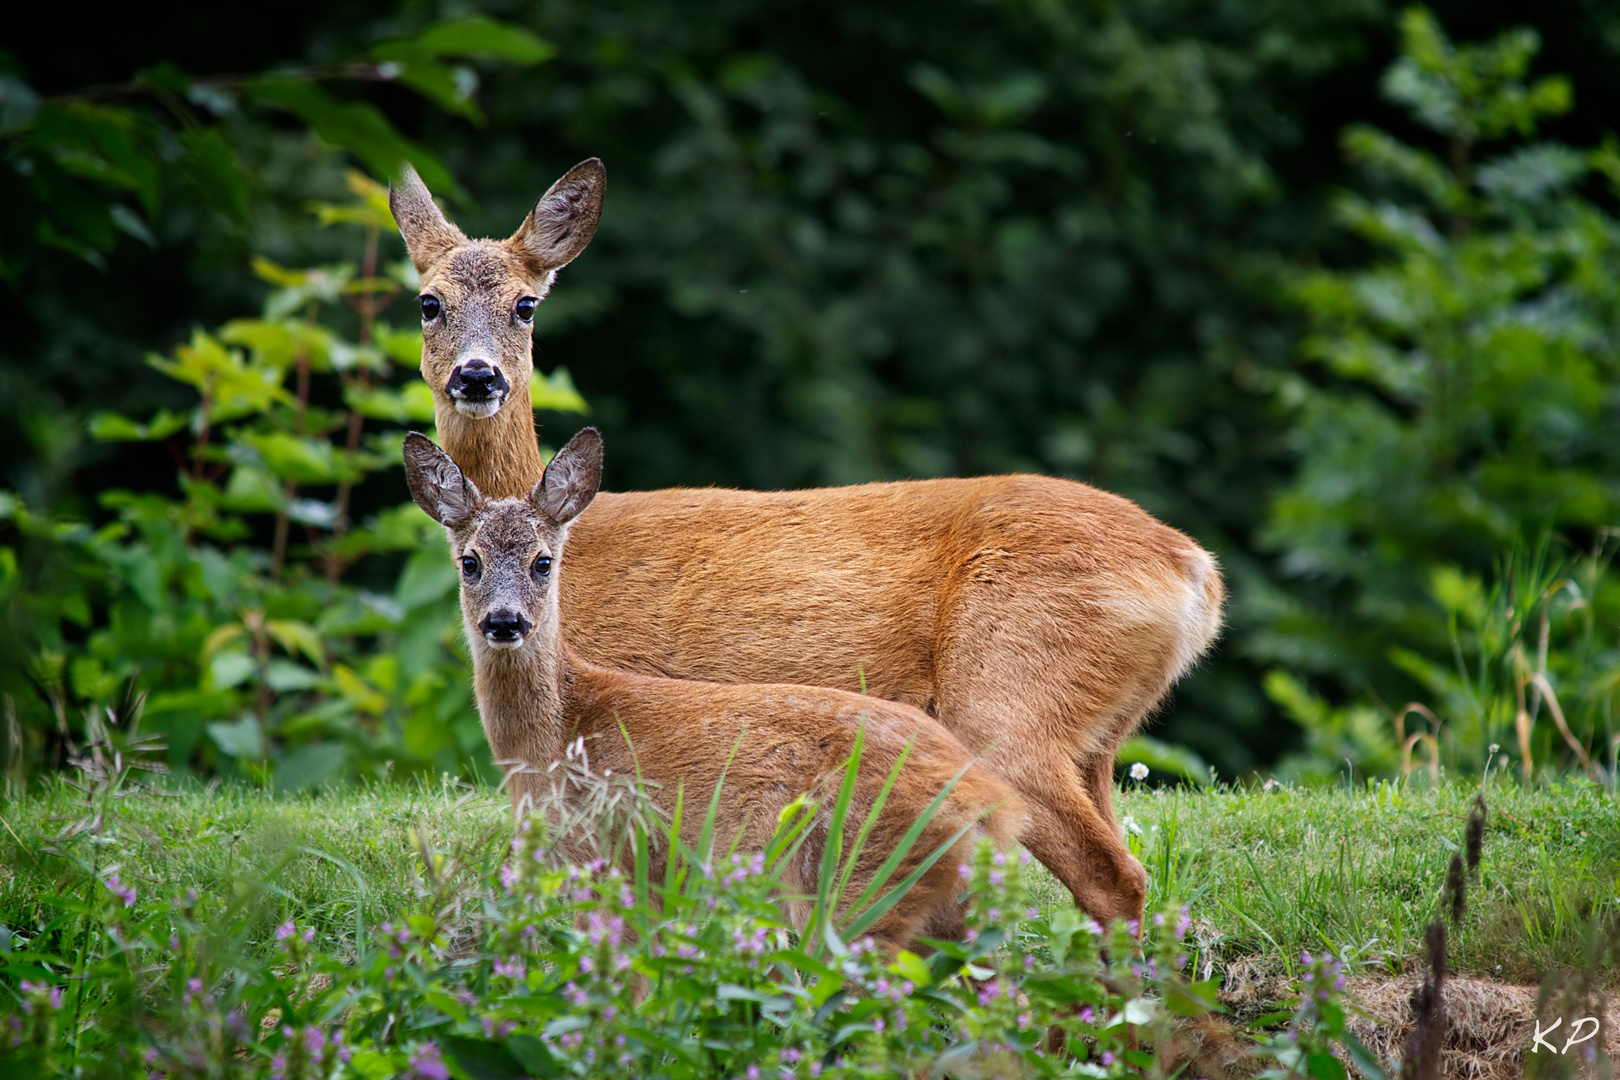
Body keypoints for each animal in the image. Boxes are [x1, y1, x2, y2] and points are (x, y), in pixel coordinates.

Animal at [401, 430, 1023, 952]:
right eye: (469, 562)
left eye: (543, 562)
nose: (504, 622)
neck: (555, 742)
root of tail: (991, 804)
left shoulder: (610, 857)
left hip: (857, 884)